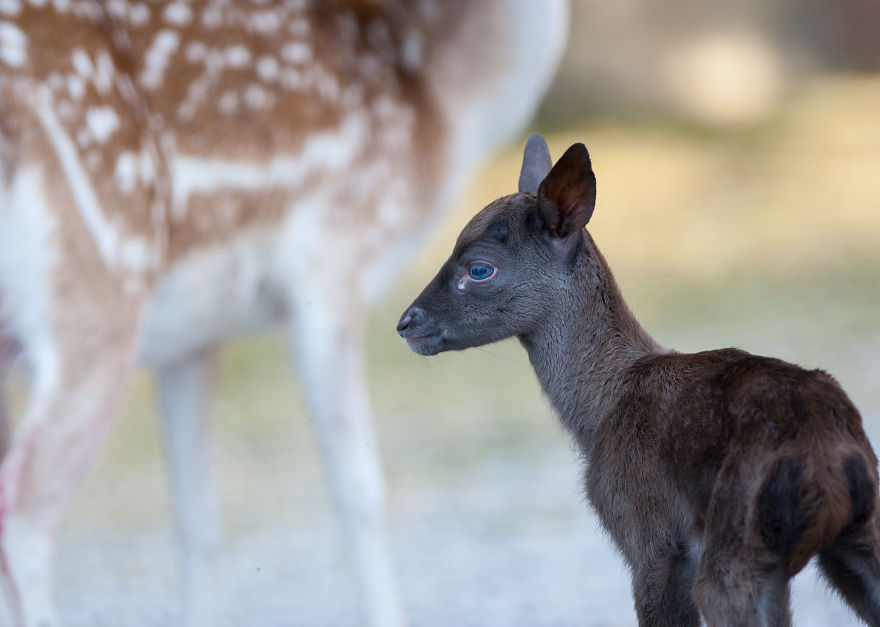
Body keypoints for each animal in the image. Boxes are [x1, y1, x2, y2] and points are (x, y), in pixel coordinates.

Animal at [0, 2, 569, 626]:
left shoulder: (191, 337)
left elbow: (198, 524)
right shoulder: (331, 257)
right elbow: (360, 489)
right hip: (101, 288)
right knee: (25, 505)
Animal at [397, 134, 880, 626]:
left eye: (479, 268)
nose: (406, 323)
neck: (599, 410)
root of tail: (831, 459)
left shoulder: (649, 536)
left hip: (739, 546)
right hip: (858, 537)